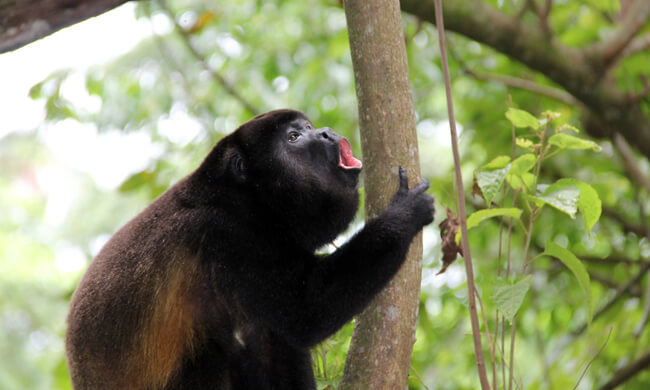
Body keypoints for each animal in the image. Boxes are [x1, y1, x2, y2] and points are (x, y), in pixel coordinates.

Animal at [66, 109, 432, 390]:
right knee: (209, 351)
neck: (249, 204)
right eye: (293, 138)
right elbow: (304, 315)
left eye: (308, 127)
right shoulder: (227, 237)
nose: (326, 133)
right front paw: (402, 215)